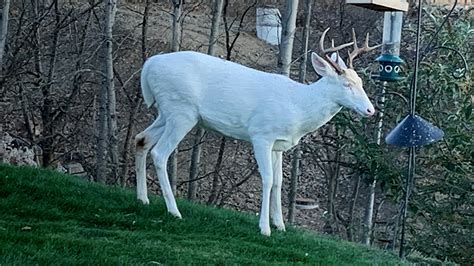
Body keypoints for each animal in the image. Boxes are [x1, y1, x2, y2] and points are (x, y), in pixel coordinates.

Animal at [135, 28, 380, 235]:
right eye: (346, 84)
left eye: (360, 81)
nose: (371, 110)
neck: (298, 108)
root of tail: (149, 64)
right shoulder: (261, 134)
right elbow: (268, 179)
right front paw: (264, 228)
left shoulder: (279, 144)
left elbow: (279, 182)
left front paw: (280, 224)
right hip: (181, 111)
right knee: (160, 153)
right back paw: (174, 210)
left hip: (166, 112)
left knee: (141, 139)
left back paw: (142, 199)